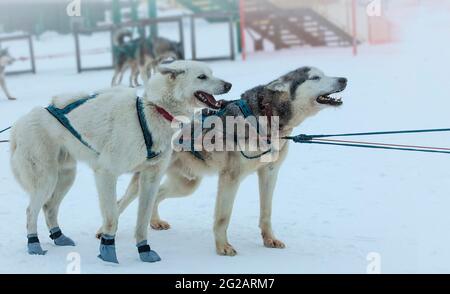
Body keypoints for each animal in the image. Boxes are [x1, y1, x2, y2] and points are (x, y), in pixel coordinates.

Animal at [10, 60, 232, 264]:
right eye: (202, 76)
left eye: (212, 73)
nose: (229, 84)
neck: (152, 112)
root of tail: (19, 123)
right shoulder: (106, 174)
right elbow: (112, 218)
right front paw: (108, 252)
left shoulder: (150, 178)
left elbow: (142, 219)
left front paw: (144, 251)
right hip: (46, 180)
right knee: (31, 211)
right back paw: (34, 245)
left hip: (66, 177)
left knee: (49, 207)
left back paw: (59, 237)